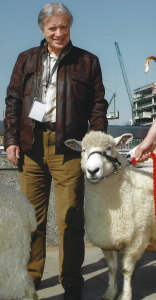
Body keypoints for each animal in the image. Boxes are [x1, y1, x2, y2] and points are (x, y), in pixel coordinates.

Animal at [65, 132, 156, 300]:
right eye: (83, 149)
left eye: (108, 148)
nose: (92, 171)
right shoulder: (108, 241)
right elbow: (112, 268)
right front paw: (110, 293)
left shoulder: (137, 239)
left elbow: (126, 270)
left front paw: (125, 296)